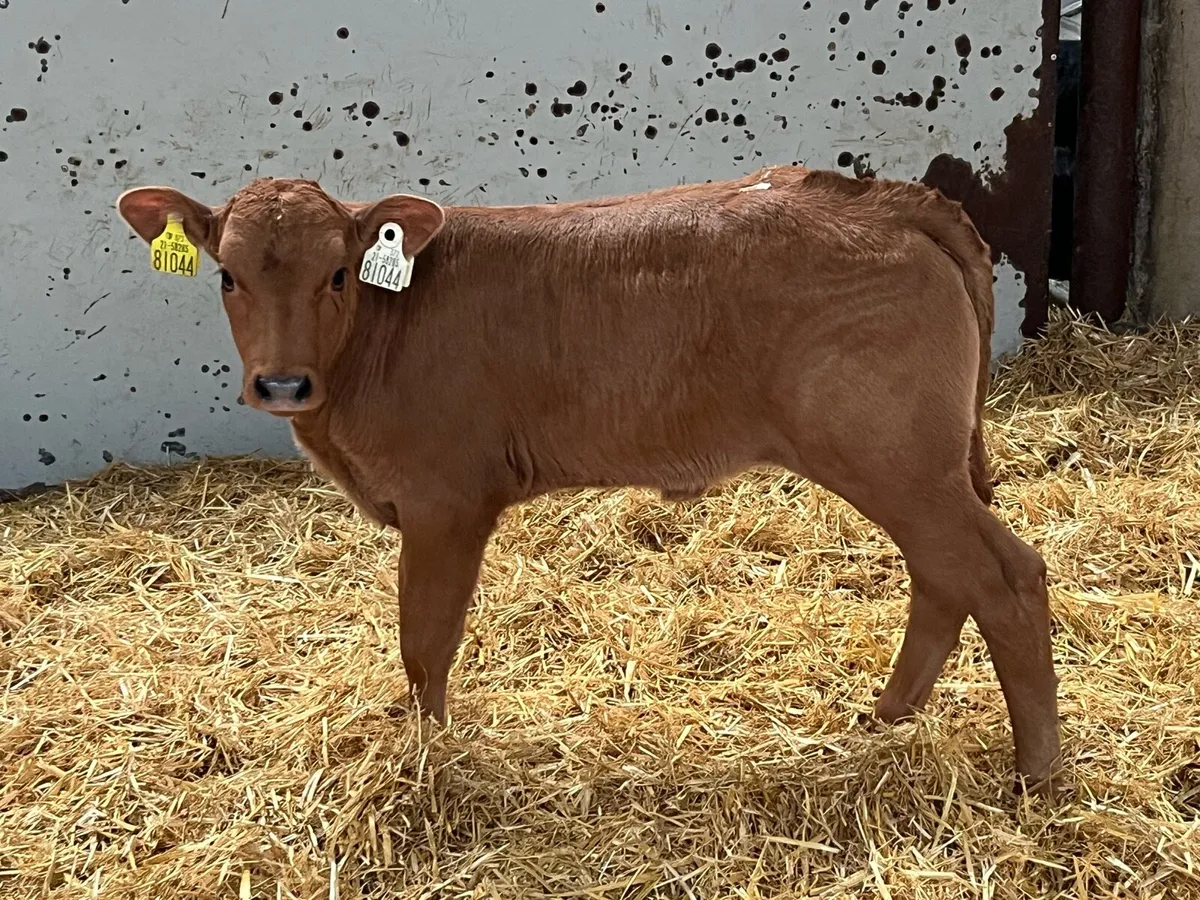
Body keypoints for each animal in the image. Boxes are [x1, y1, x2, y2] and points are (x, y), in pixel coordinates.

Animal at [117, 166, 1061, 792]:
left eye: (339, 273)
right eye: (228, 275)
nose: (282, 384)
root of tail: (890, 197)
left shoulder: (445, 500)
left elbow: (425, 640)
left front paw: (426, 754)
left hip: (896, 460)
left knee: (1004, 577)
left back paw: (1038, 772)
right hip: (910, 469)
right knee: (945, 577)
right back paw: (888, 714)